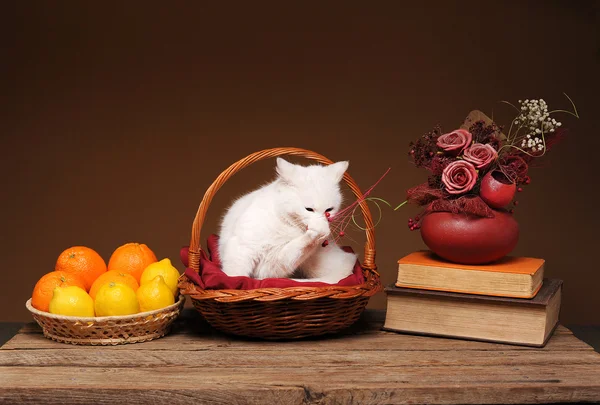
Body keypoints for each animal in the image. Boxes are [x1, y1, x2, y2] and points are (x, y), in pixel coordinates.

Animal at [219, 156, 356, 282]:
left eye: (329, 210)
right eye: (309, 209)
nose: (322, 222)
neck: (286, 225)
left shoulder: (269, 267)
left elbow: (298, 248)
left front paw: (319, 232)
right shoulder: (243, 247)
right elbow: (236, 275)